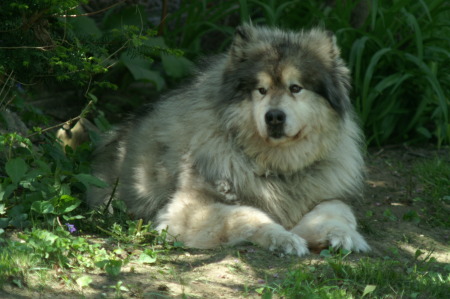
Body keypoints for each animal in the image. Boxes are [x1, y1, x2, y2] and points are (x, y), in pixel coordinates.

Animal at [88, 24, 370, 256]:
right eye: (261, 90)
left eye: (295, 88)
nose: (274, 117)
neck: (276, 166)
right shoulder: (187, 210)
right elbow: (248, 215)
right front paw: (281, 237)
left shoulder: (327, 196)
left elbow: (335, 213)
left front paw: (341, 235)